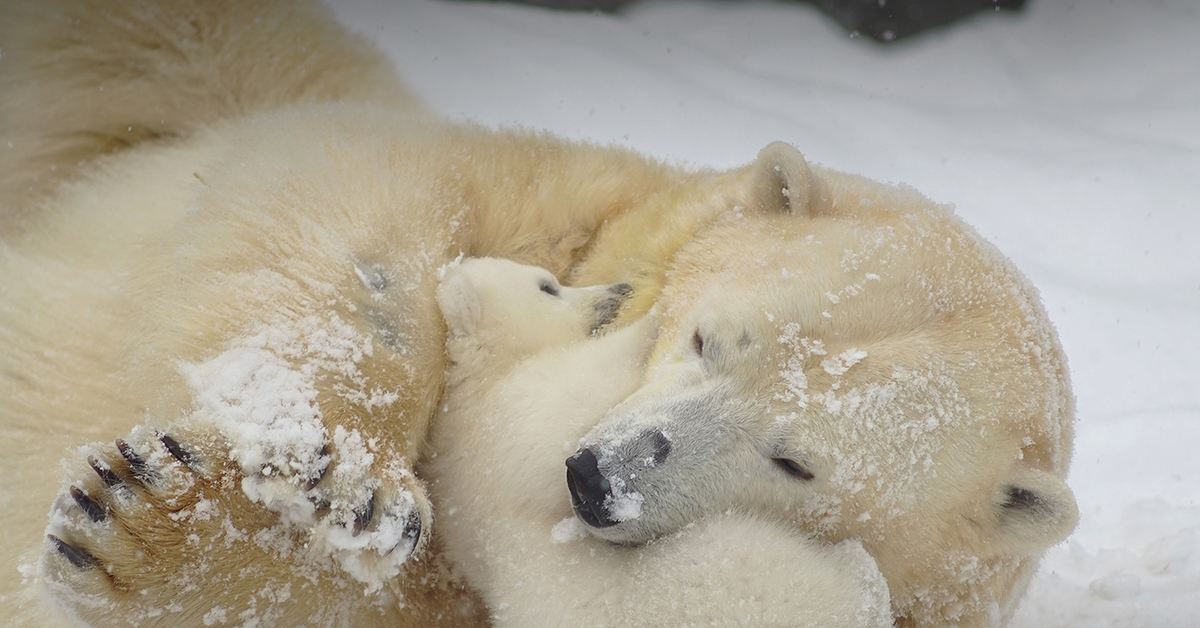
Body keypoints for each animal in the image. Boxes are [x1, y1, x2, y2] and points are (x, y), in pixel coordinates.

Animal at [427, 256, 897, 628]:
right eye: (548, 285)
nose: (619, 289)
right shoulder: (510, 414)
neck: (481, 372)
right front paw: (652, 315)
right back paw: (858, 567)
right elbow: (574, 404)